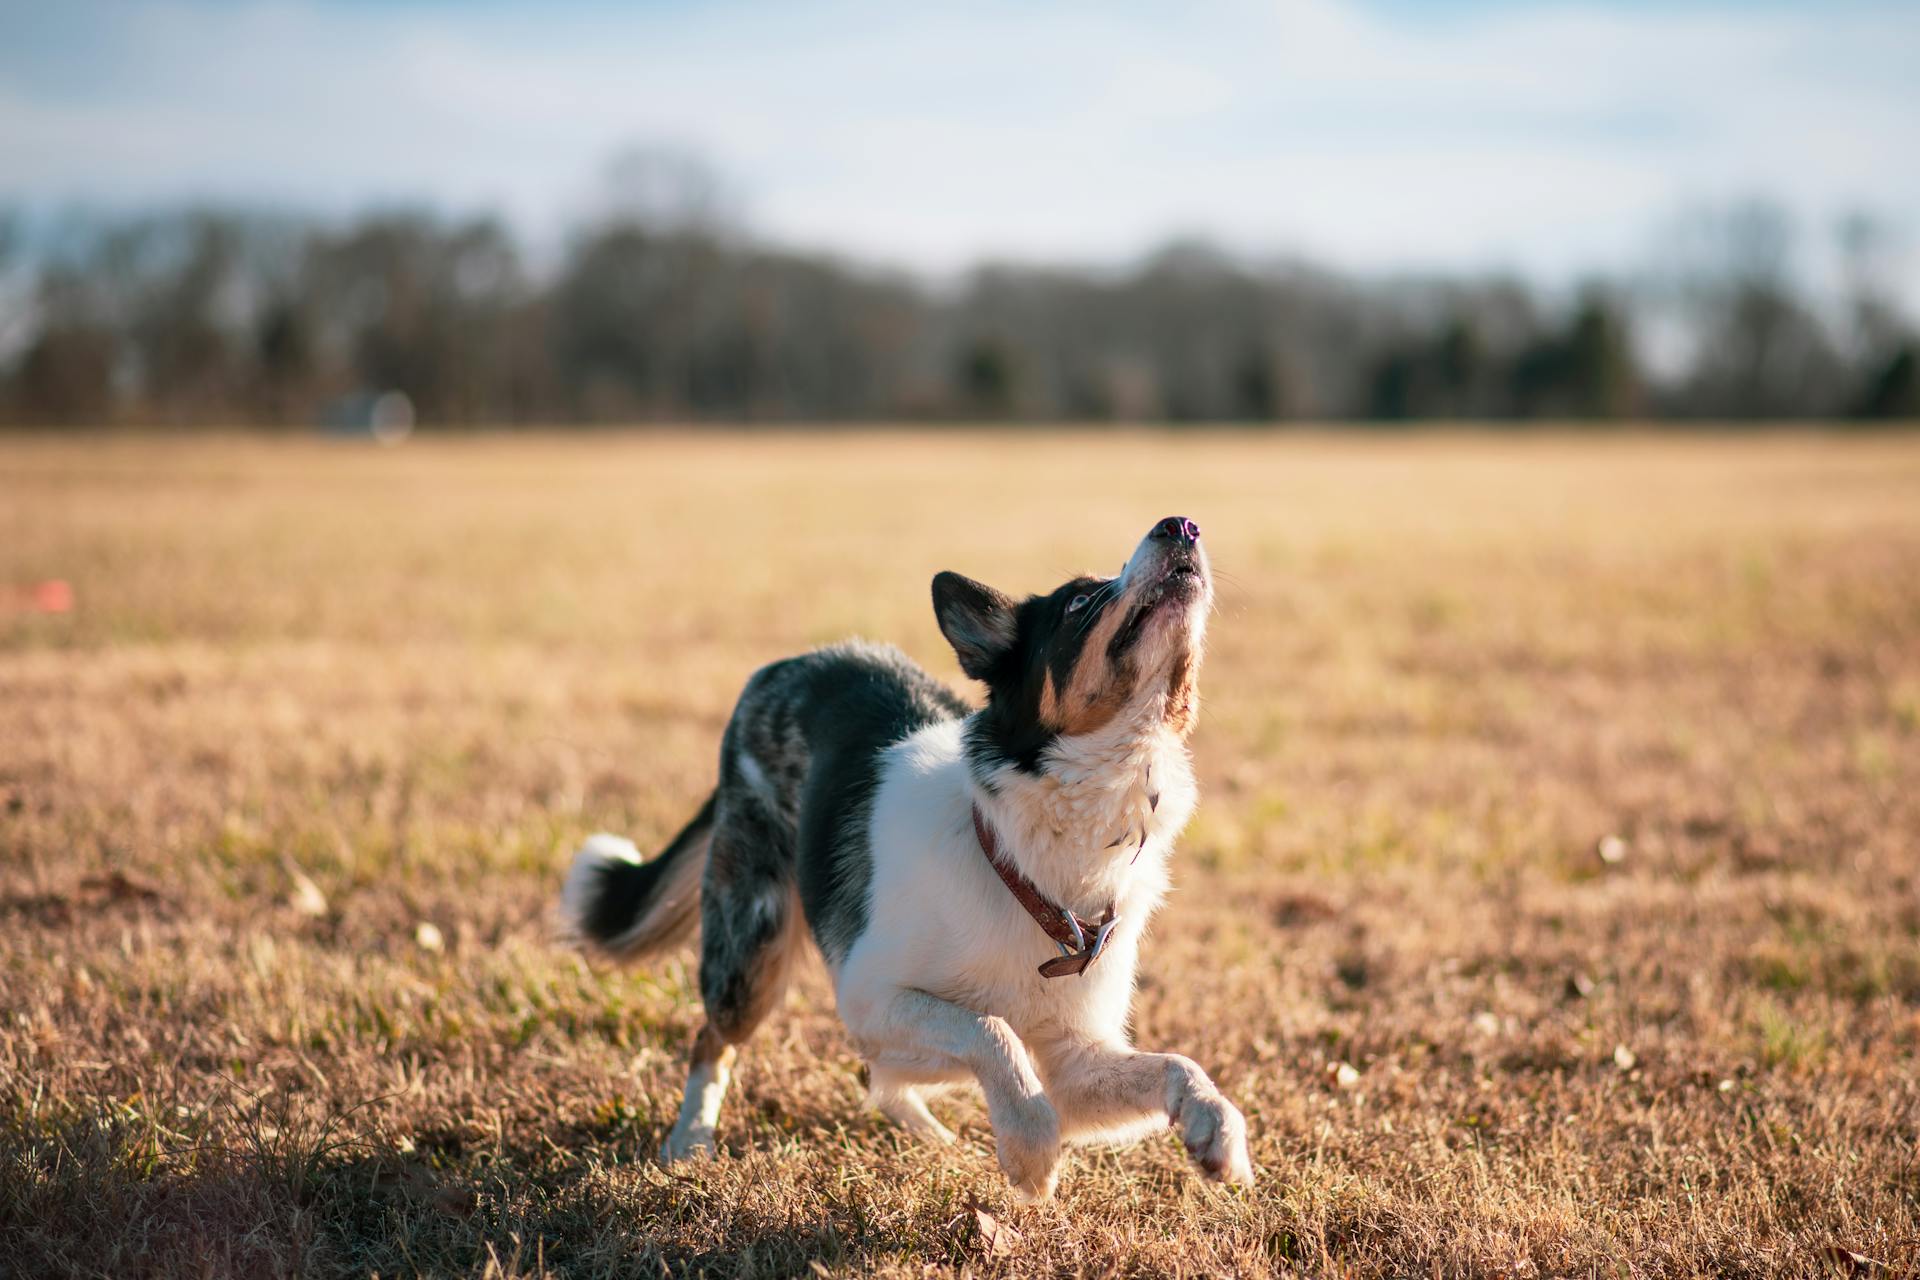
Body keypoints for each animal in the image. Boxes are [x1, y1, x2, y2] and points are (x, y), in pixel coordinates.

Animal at [560, 514, 1251, 1197]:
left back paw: (931, 1136)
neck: (1031, 857)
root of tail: (789, 665)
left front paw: (1217, 1131)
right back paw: (690, 1141)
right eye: (1079, 601)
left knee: (881, 1079)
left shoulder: (1074, 1060)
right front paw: (1030, 1145)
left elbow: (1178, 1065)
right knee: (716, 1041)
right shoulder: (871, 994)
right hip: (751, 941)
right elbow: (990, 1030)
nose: (1181, 525)